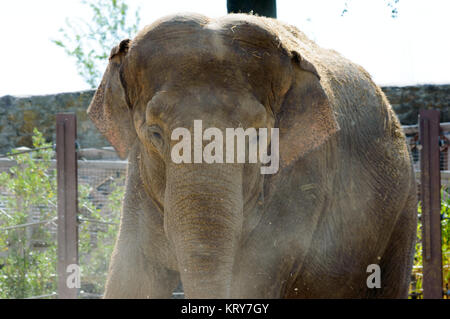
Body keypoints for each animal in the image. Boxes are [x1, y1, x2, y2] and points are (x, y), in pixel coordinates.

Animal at [86, 11, 416, 298]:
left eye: (257, 136)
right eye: (154, 133)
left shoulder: (301, 175)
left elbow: (253, 279)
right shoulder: (138, 178)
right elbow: (131, 277)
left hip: (403, 207)